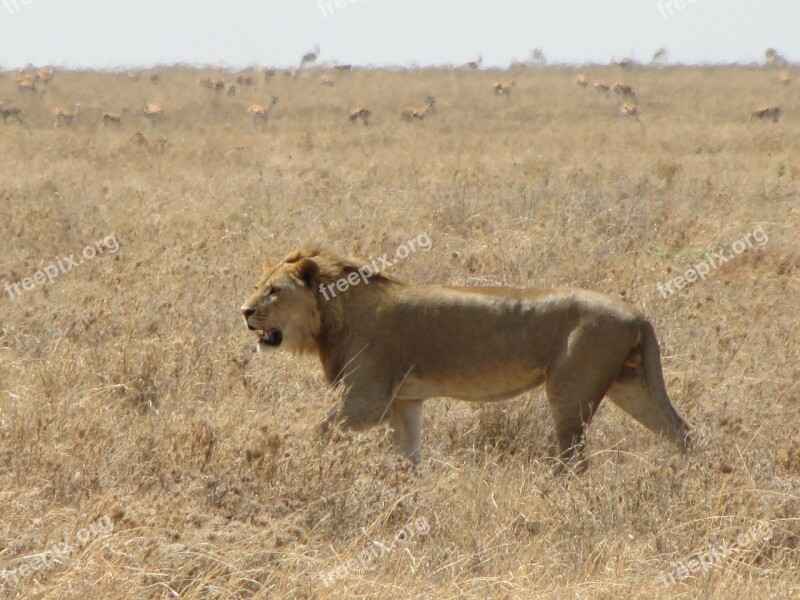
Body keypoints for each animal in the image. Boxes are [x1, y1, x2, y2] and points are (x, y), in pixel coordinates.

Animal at [241, 246, 692, 472]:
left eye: (274, 291)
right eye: (258, 285)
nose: (244, 311)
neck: (334, 315)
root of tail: (637, 314)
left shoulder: (367, 402)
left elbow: (316, 432)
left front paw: (285, 461)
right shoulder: (405, 403)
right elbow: (409, 458)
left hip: (570, 392)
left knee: (574, 461)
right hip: (631, 386)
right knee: (682, 432)